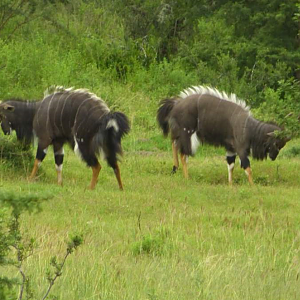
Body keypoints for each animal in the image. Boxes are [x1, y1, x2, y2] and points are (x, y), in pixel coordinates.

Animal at [158, 85, 290, 185]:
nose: (273, 157)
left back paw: (175, 168)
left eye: (282, 145)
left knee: (174, 144)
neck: (248, 127)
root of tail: (175, 104)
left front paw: (230, 185)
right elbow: (247, 168)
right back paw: (187, 178)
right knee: (183, 154)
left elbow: (230, 166)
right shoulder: (241, 149)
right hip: (188, 134)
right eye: (276, 143)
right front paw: (253, 186)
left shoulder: (230, 149)